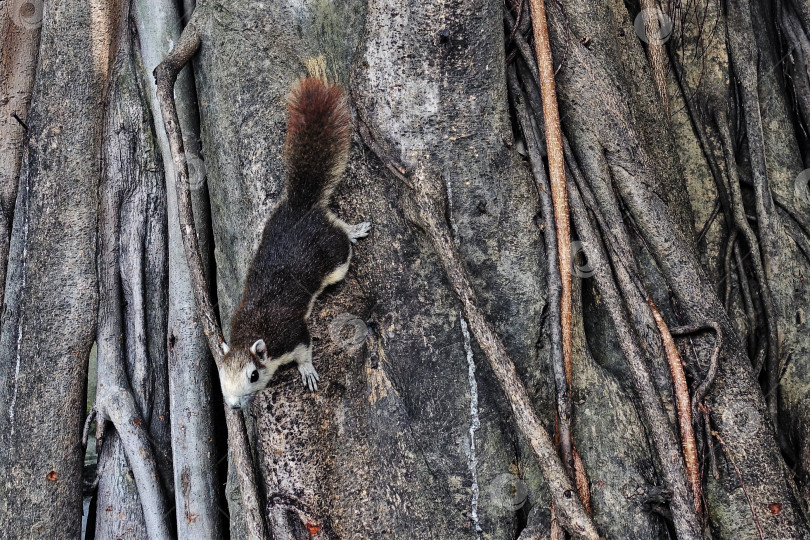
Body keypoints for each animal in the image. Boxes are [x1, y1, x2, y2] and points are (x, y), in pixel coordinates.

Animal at [218, 77, 370, 410]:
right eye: (220, 374)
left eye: (253, 376)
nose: (234, 405)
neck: (253, 331)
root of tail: (301, 206)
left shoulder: (293, 335)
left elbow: (305, 352)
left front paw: (308, 372)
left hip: (335, 259)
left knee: (340, 236)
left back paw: (353, 231)